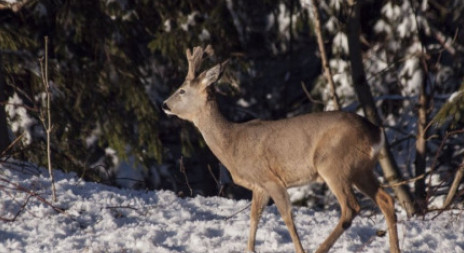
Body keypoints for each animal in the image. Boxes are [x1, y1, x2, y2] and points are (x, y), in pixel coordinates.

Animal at [162, 45, 398, 253]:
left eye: (182, 90)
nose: (164, 104)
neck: (232, 145)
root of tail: (376, 131)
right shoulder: (259, 186)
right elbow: (254, 218)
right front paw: (249, 249)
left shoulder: (271, 179)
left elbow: (287, 217)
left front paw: (300, 250)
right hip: (361, 169)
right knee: (386, 200)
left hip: (333, 163)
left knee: (351, 207)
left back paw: (320, 249)